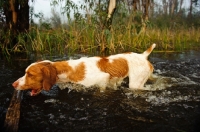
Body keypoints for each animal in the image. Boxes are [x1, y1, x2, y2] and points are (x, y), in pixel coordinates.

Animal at [12, 43, 156, 95]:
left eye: (30, 74)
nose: (13, 84)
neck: (69, 70)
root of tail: (143, 55)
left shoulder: (102, 79)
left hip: (135, 84)